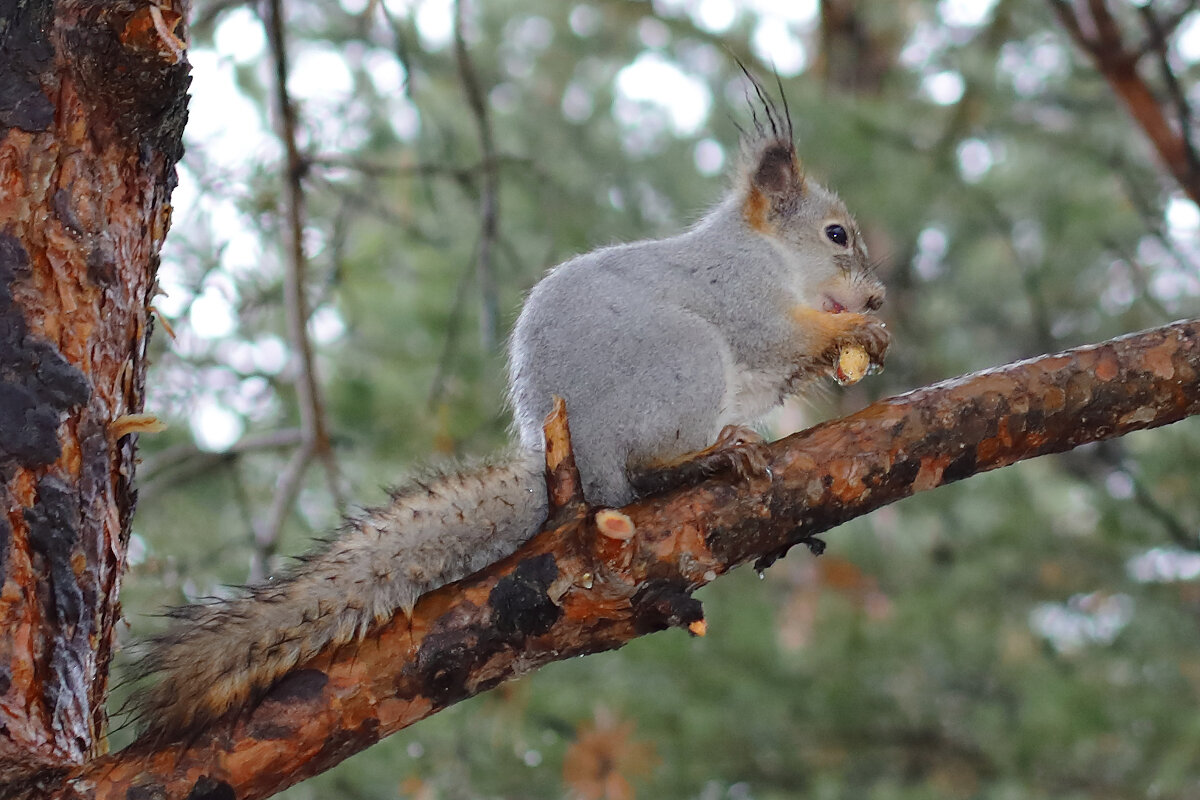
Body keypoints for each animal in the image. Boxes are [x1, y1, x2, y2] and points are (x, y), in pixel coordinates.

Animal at [131, 82, 892, 743]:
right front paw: (853, 332)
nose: (879, 297)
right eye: (836, 235)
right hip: (686, 361)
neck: (765, 252)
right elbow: (773, 336)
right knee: (644, 472)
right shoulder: (740, 294)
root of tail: (574, 464)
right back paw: (711, 454)